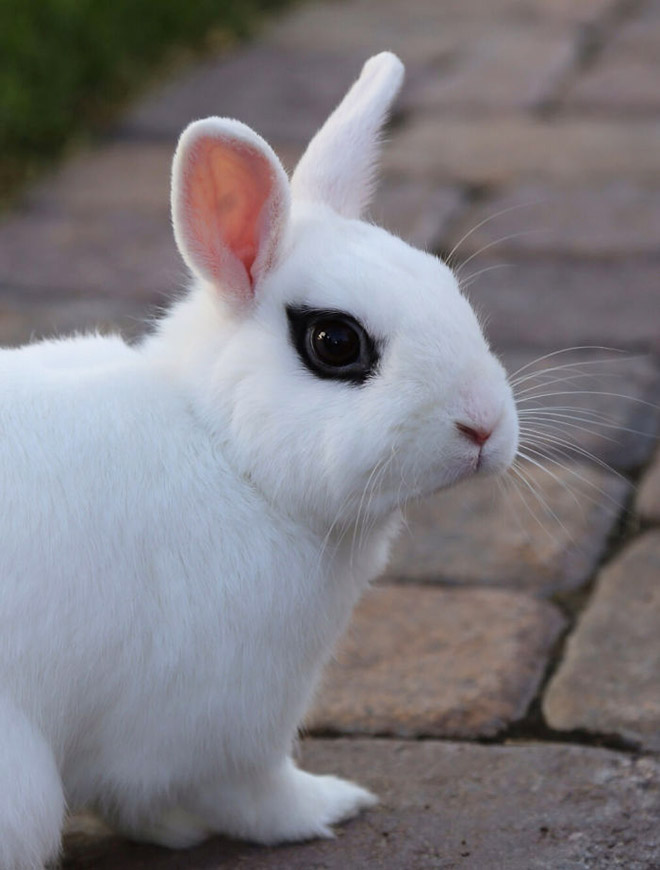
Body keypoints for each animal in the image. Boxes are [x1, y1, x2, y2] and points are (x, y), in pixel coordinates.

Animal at [0, 51, 520, 868]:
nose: (484, 426)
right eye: (335, 342)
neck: (225, 450)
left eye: (445, 283)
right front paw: (330, 806)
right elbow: (252, 793)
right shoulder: (225, 720)